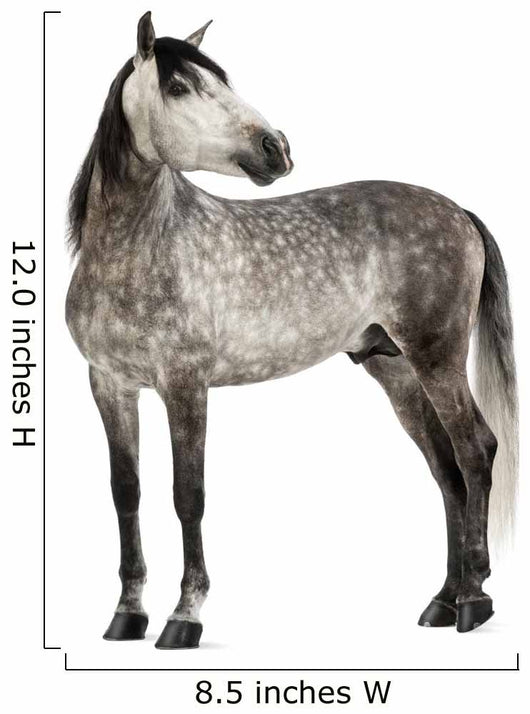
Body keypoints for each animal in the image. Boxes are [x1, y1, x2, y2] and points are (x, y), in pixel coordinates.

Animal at [66, 11, 518, 649]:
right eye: (178, 87)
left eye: (220, 80)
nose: (275, 147)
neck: (137, 250)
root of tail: (460, 212)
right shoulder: (109, 385)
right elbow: (125, 492)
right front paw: (128, 614)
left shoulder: (185, 385)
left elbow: (188, 495)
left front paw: (185, 616)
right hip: (396, 370)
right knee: (447, 471)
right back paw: (441, 601)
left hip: (438, 358)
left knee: (476, 450)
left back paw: (475, 599)